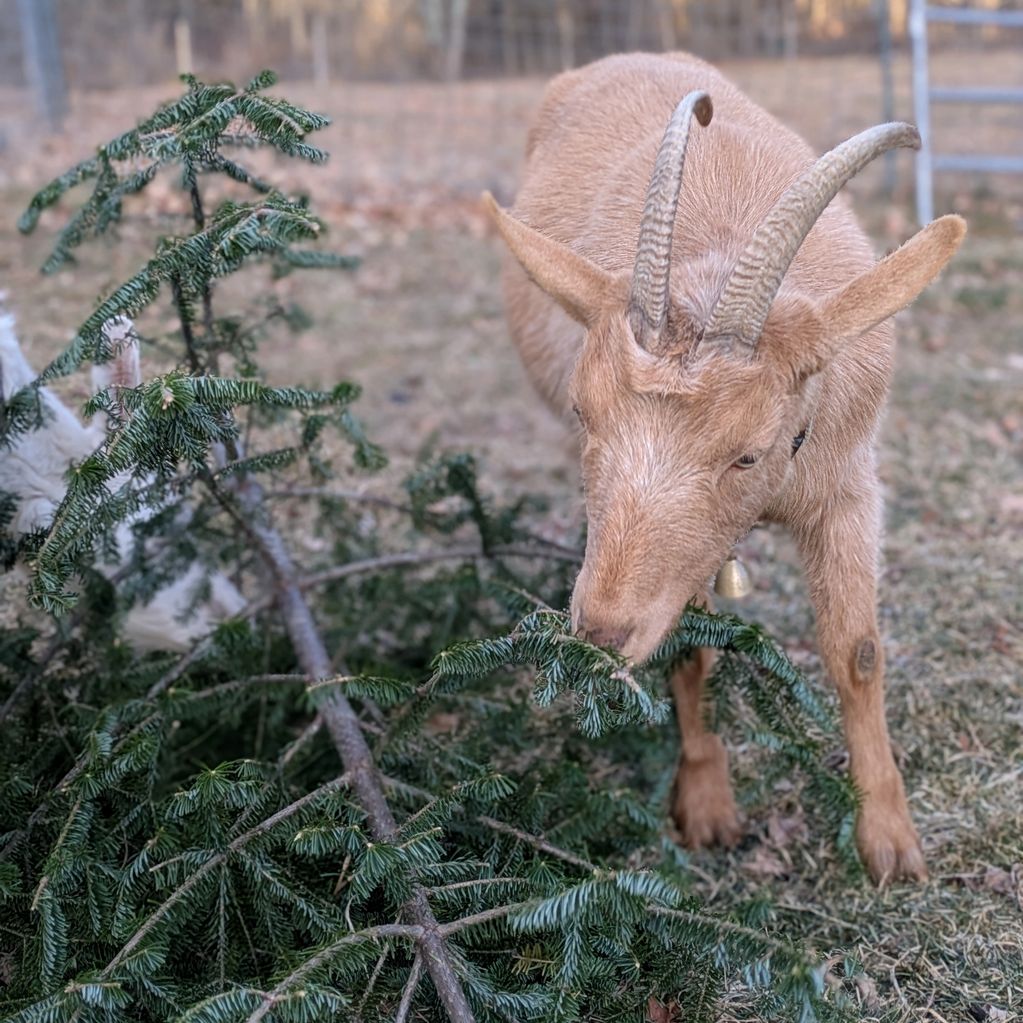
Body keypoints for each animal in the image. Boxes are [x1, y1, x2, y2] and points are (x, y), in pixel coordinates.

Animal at [484, 52, 965, 883]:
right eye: (584, 412)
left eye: (749, 450)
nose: (600, 630)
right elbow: (689, 643)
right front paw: (706, 804)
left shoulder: (847, 484)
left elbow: (856, 652)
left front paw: (888, 839)